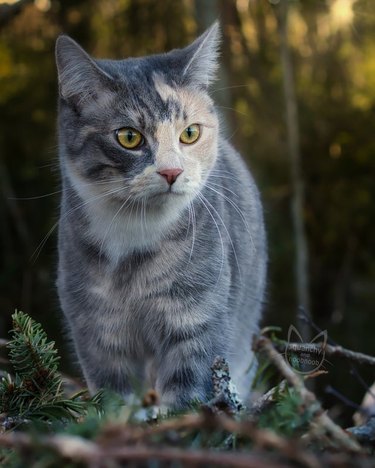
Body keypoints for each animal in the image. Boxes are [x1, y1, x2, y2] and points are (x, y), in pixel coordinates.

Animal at [55, 22, 268, 410]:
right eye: (128, 137)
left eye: (190, 133)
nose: (172, 171)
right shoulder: (95, 327)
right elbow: (113, 392)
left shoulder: (196, 315)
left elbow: (188, 391)